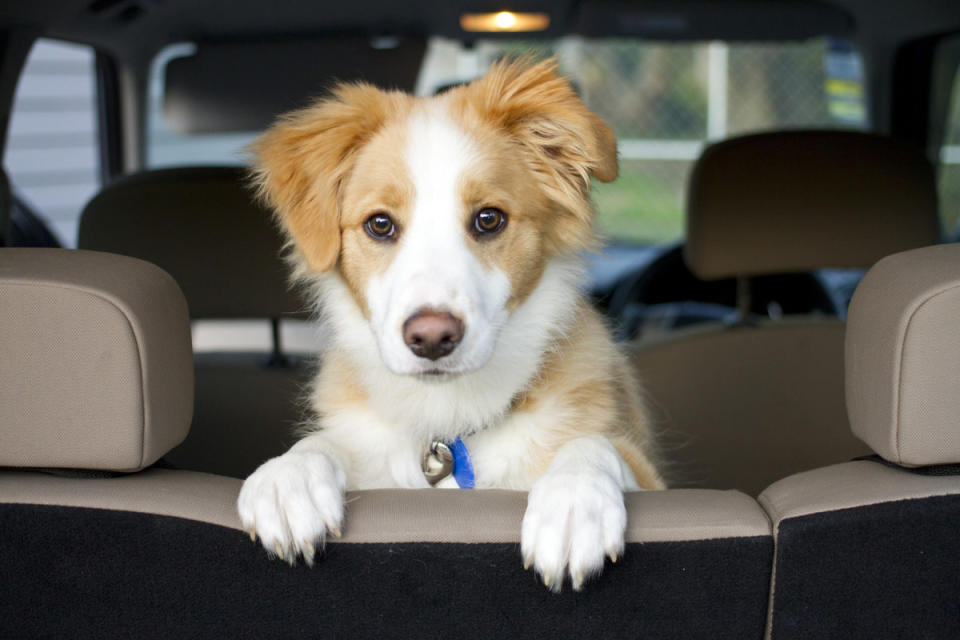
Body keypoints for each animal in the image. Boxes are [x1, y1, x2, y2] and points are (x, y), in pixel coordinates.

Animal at [236, 57, 664, 592]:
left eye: (489, 219)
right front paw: (287, 478)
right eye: (380, 224)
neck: (447, 422)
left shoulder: (649, 473)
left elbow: (594, 445)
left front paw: (572, 503)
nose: (432, 339)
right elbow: (323, 444)